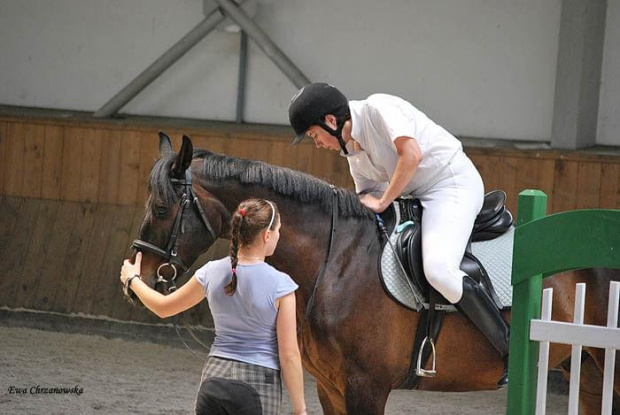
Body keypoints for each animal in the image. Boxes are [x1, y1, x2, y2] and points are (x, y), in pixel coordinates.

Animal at [128, 134, 616, 415]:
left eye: (162, 208)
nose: (140, 280)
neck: (334, 262)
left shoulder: (367, 388)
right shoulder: (331, 389)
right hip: (587, 372)